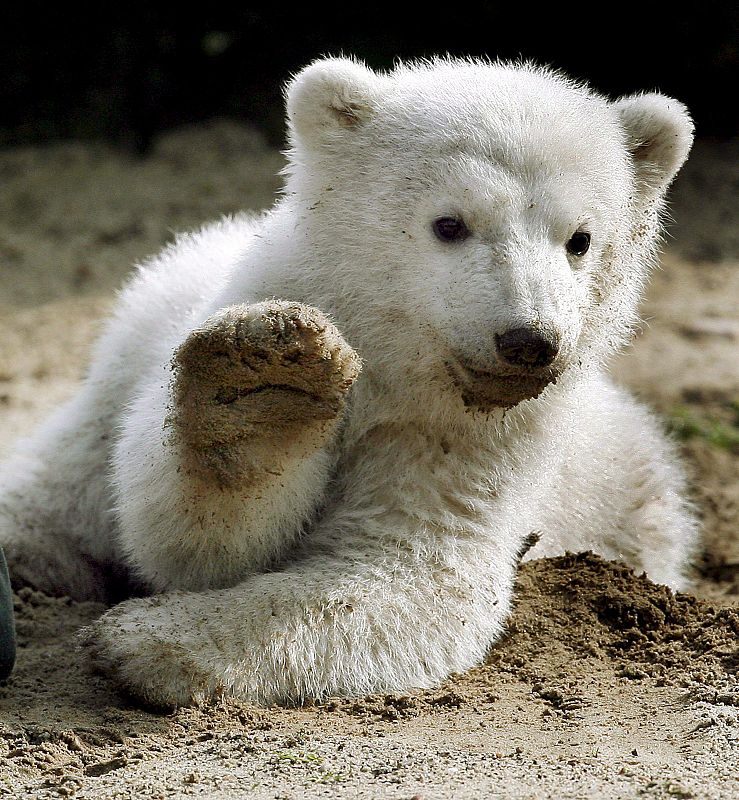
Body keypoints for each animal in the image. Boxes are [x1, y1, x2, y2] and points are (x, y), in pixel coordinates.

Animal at [0, 57, 696, 708]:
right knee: (65, 486)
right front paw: (259, 393)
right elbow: (182, 527)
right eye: (449, 223)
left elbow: (409, 570)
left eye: (581, 239)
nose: (528, 340)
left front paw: (146, 638)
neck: (392, 370)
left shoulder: (464, 440)